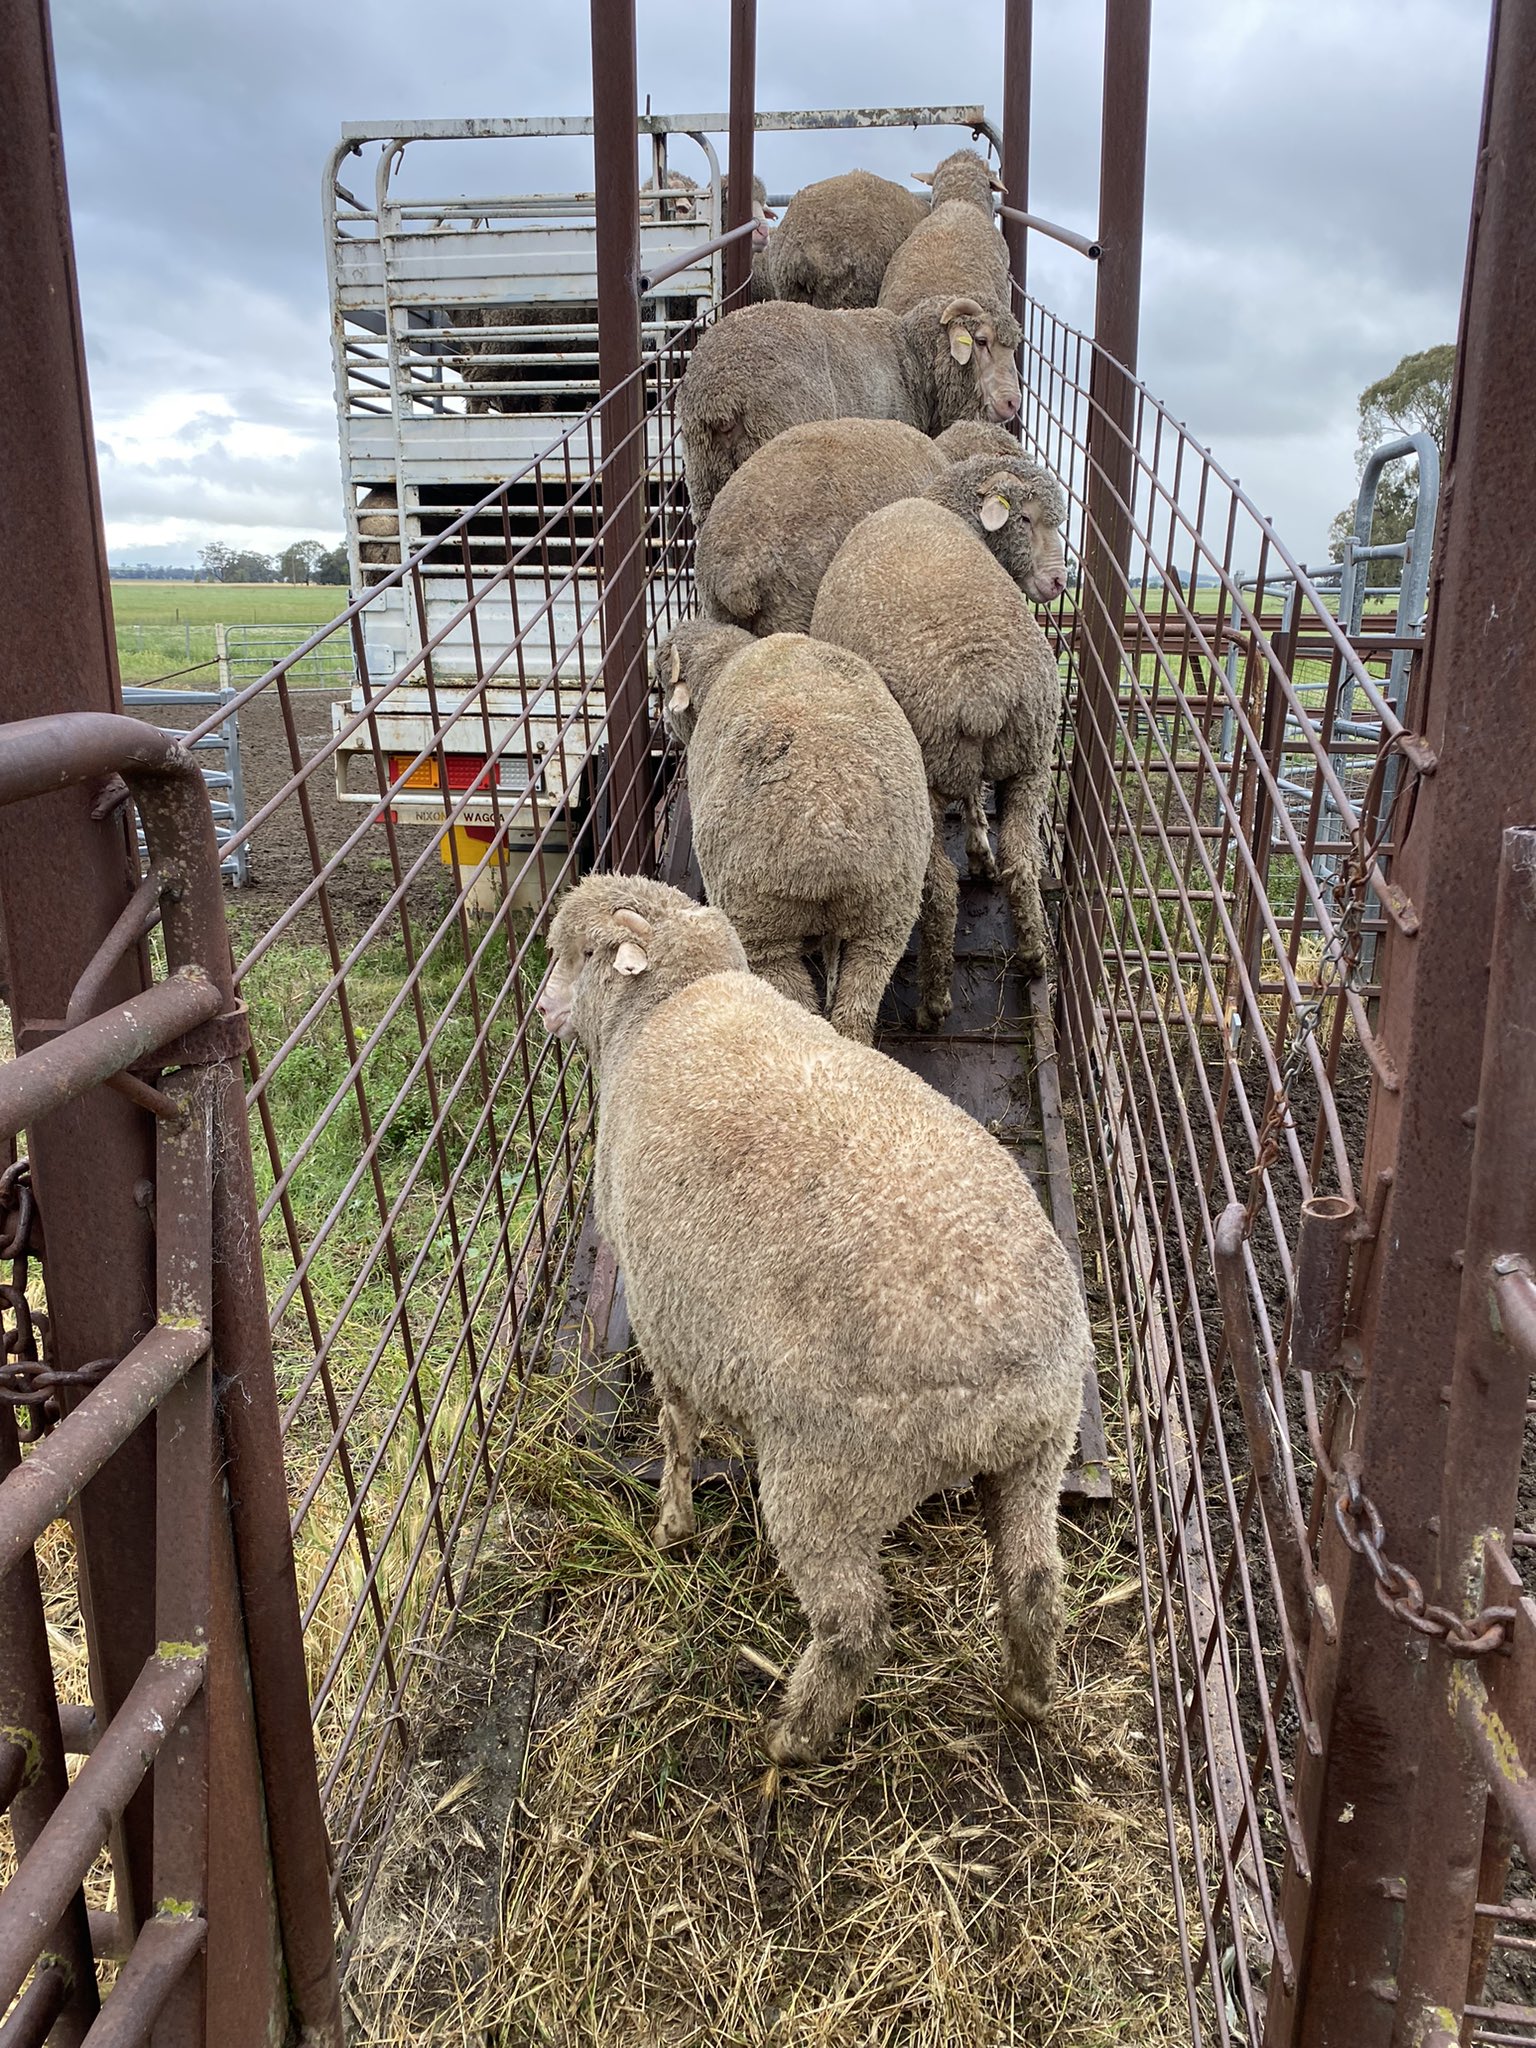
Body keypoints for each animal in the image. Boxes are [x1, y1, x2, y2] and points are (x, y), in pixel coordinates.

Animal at [534, 873, 1090, 1761]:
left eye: (582, 953)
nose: (541, 1009)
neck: (665, 1006)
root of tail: (1000, 1395)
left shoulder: (662, 1316)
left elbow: (676, 1430)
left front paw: (672, 1528)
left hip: (828, 1481)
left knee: (854, 1628)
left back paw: (789, 1738)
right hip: (1039, 1452)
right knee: (1033, 1579)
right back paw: (1029, 1697)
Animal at [655, 620, 930, 1043]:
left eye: (661, 683)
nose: (666, 732)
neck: (725, 662)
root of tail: (832, 842)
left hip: (762, 926)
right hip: (886, 918)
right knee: (856, 1006)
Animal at [810, 463, 1069, 1030]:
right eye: (1024, 518)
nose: (1060, 581)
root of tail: (985, 693)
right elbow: (974, 802)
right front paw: (980, 852)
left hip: (923, 780)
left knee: (942, 890)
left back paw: (933, 1003)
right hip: (1032, 758)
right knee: (1023, 858)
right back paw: (1034, 954)